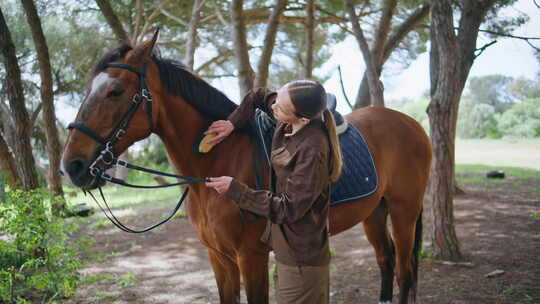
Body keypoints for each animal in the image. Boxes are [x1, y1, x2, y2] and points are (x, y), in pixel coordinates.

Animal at [62, 33, 430, 304]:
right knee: (386, 261)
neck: (216, 160)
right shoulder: (219, 257)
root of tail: (412, 124)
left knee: (405, 271)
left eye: (115, 91)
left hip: (404, 211)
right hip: (374, 212)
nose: (72, 166)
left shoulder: (251, 257)